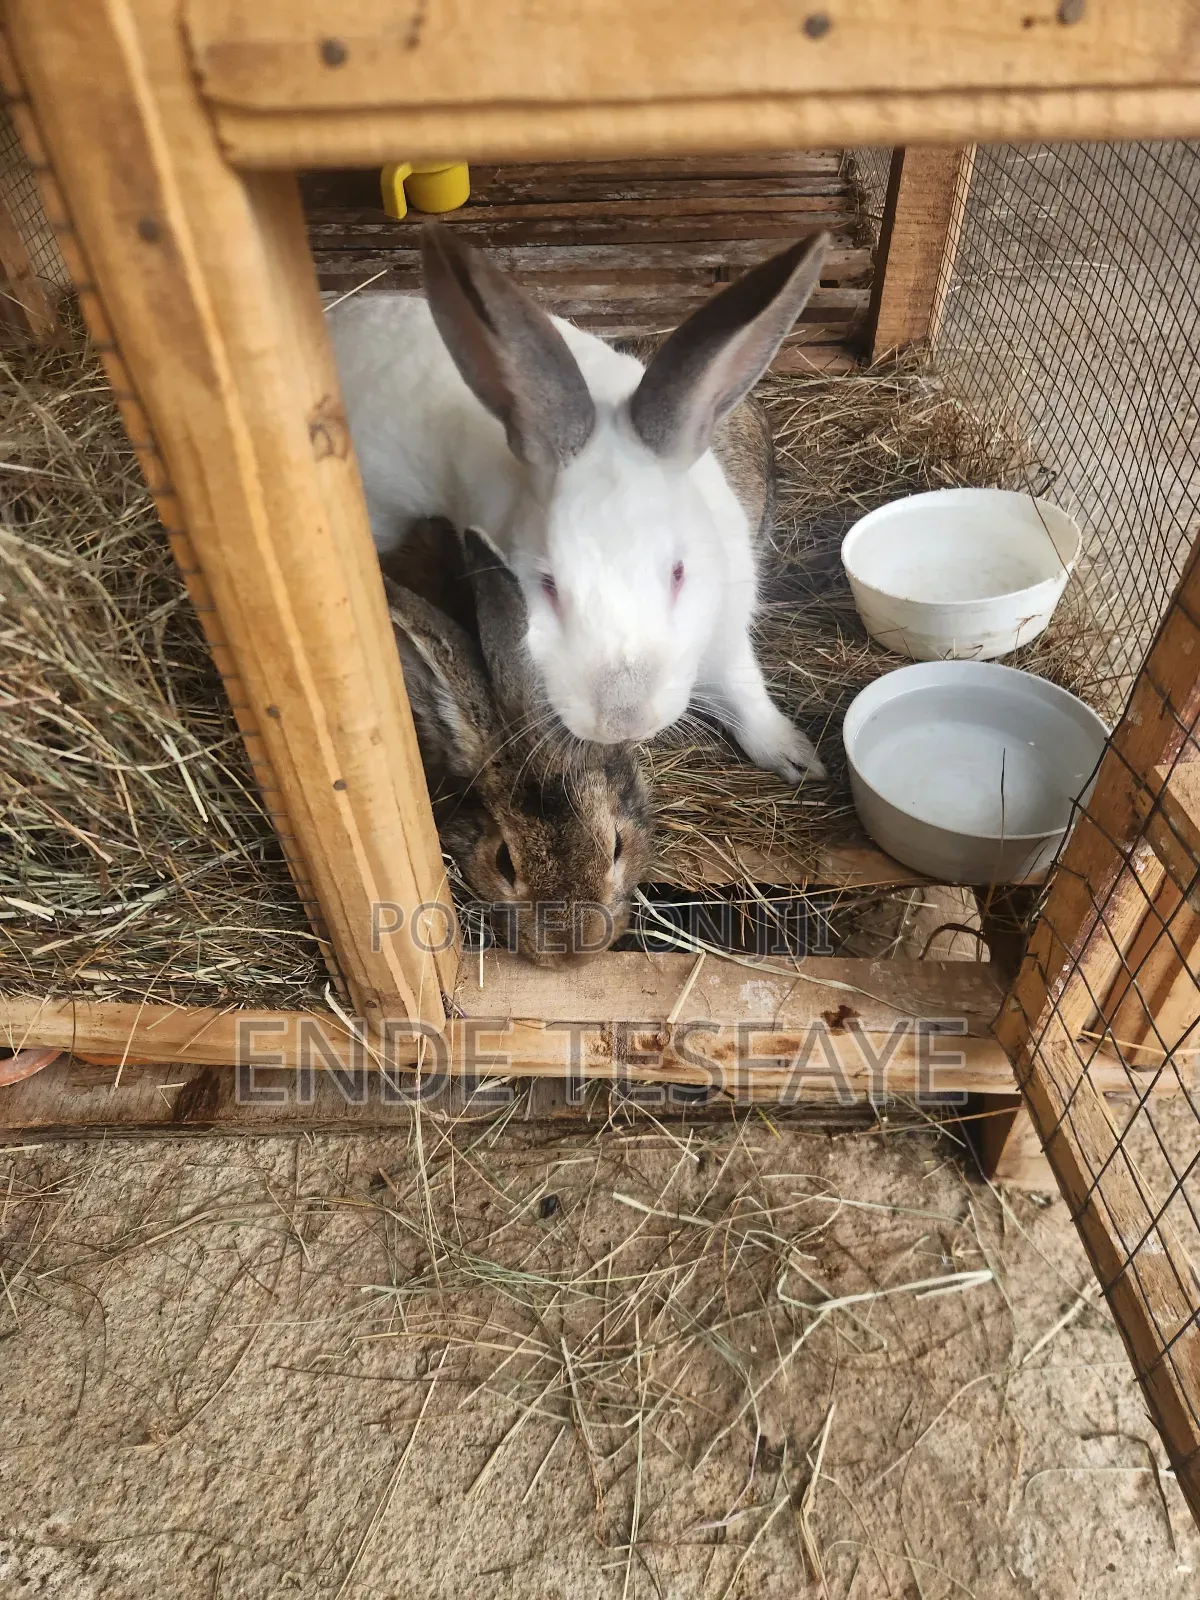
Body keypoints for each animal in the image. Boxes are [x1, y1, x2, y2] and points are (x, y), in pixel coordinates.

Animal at [329, 225, 830, 782]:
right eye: (546, 585)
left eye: (678, 573)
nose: (621, 721)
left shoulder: (729, 624)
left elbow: (745, 690)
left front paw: (798, 758)